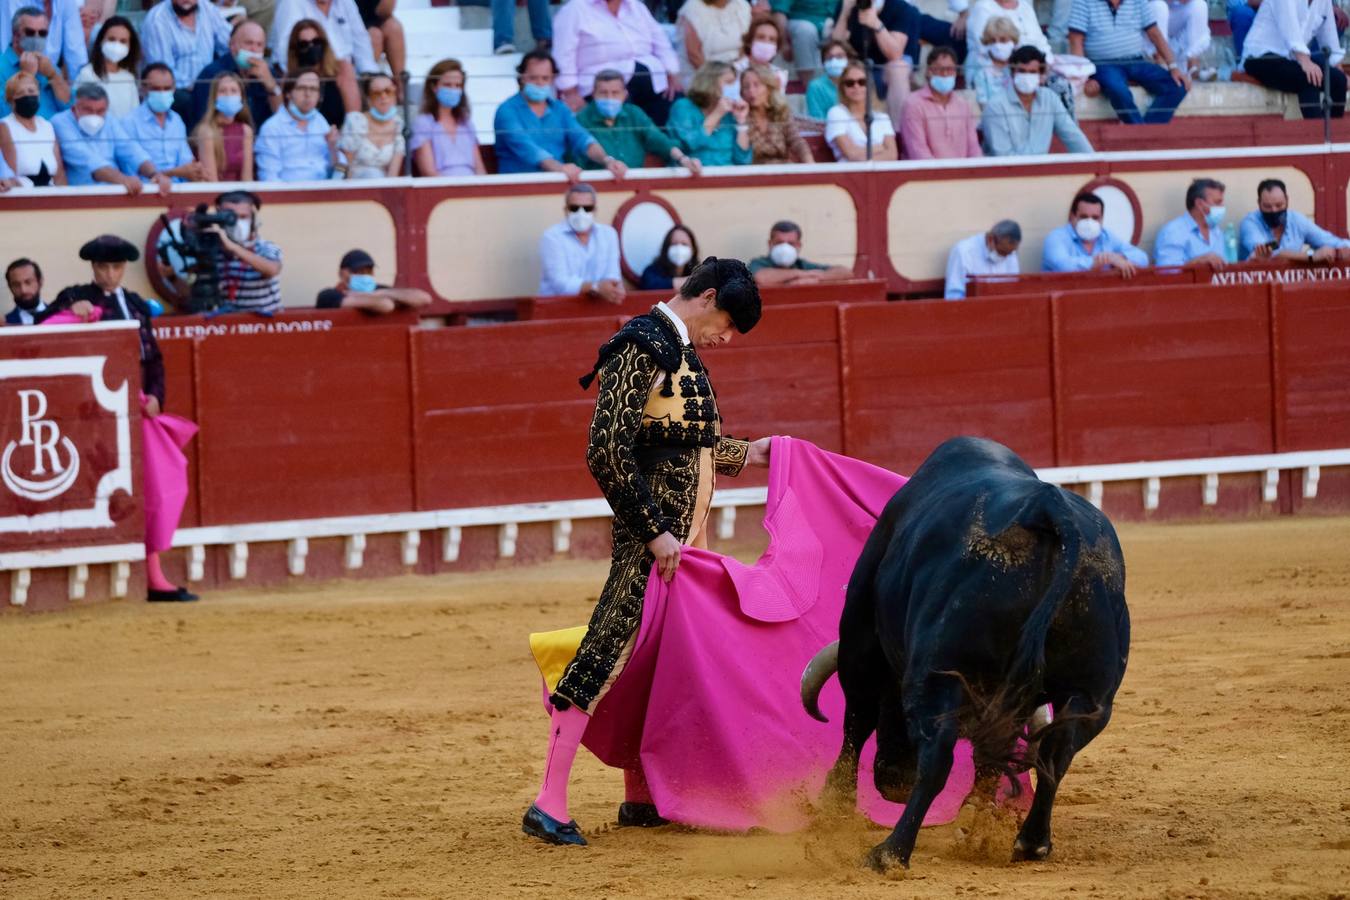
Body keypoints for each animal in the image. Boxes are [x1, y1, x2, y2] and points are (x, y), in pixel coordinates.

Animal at [799, 437, 1128, 874]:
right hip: (1091, 696)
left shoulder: (862, 643)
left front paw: (832, 804)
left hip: (937, 673)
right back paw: (1030, 842)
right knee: (1056, 754)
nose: (894, 784)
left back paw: (890, 852)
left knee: (937, 755)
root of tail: (1048, 508)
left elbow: (858, 719)